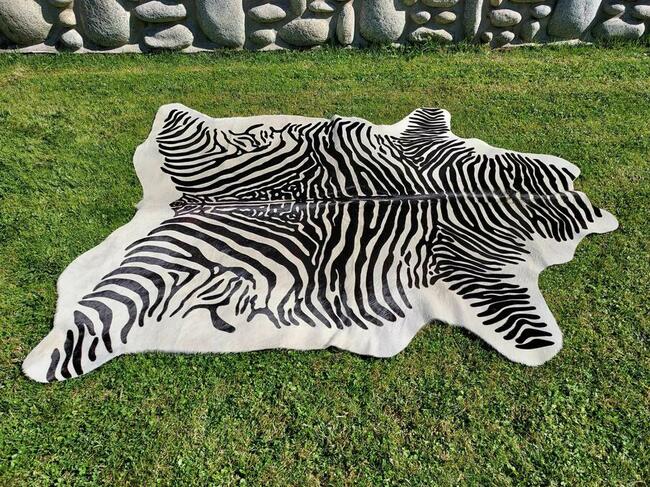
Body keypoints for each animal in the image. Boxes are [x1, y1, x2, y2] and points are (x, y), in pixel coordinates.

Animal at [23, 104, 618, 382]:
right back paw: (50, 358)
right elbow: (521, 320)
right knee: (96, 317)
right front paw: (540, 344)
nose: (579, 187)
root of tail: (177, 204)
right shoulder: (470, 264)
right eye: (571, 222)